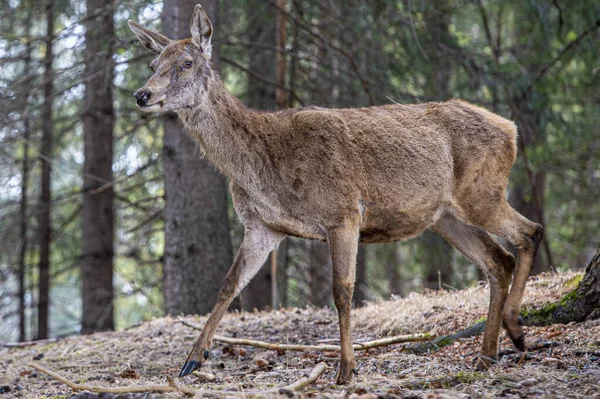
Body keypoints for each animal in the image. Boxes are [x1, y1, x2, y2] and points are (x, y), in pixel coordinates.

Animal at [127, 3, 544, 384]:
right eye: (153, 64)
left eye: (186, 62)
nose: (142, 95)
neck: (263, 168)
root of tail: (511, 129)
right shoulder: (263, 227)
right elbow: (228, 285)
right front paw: (192, 360)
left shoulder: (342, 212)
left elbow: (342, 291)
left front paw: (346, 369)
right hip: (446, 216)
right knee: (497, 260)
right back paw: (487, 354)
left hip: (482, 190)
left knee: (530, 231)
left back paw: (515, 330)